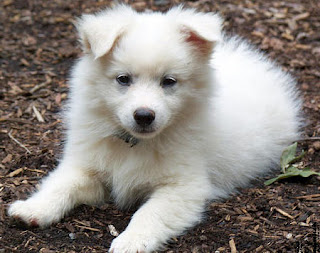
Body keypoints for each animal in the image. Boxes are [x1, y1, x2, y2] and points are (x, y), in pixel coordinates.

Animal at [8, 4, 302, 253]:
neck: (134, 143)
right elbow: (62, 183)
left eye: (168, 81)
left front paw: (131, 241)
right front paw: (34, 208)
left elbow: (149, 213)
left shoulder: (184, 188)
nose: (144, 116)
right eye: (123, 79)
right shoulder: (87, 164)